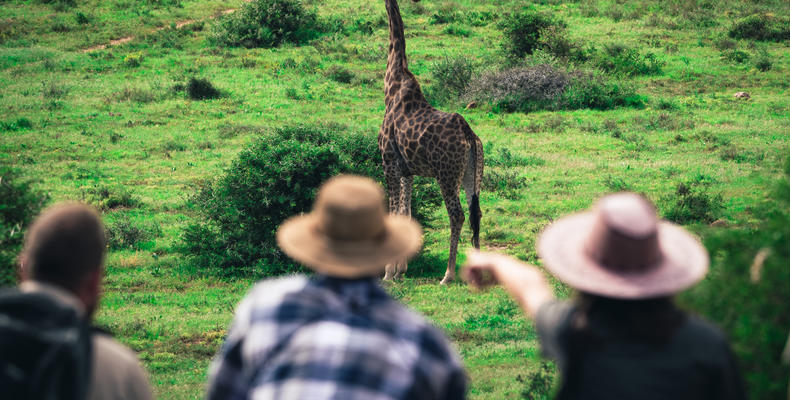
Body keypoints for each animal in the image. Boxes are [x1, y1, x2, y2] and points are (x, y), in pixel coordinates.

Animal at [382, 0, 486, 284]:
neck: (391, 84)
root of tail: (468, 133)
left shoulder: (389, 162)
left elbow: (392, 213)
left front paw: (388, 273)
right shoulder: (408, 171)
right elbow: (405, 214)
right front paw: (401, 270)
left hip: (446, 175)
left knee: (458, 215)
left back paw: (448, 275)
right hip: (473, 173)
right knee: (476, 213)